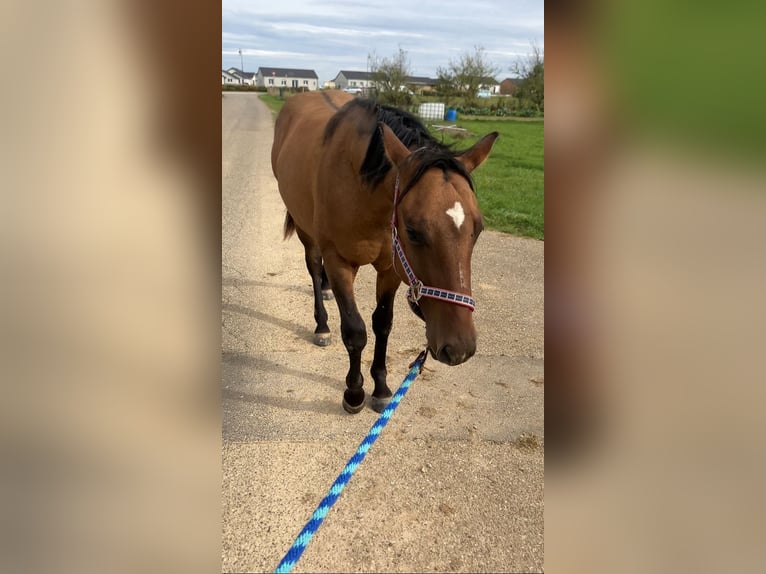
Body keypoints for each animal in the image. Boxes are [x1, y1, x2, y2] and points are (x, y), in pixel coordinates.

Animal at [271, 90, 498, 414]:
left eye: (478, 229)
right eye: (413, 230)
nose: (459, 348)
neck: (359, 186)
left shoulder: (392, 268)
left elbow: (382, 324)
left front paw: (380, 387)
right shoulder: (339, 263)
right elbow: (355, 331)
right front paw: (354, 392)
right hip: (305, 230)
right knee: (314, 267)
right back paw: (322, 325)